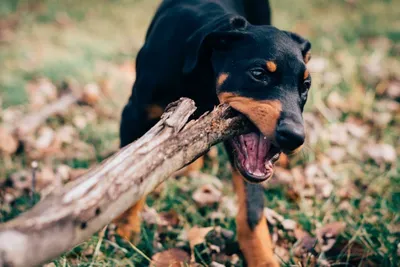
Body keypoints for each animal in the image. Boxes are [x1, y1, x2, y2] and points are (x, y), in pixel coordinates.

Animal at [114, 1, 310, 266]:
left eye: (306, 86)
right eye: (258, 73)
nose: (295, 137)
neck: (202, 78)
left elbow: (252, 208)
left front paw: (263, 258)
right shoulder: (133, 115)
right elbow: (132, 179)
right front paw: (126, 231)